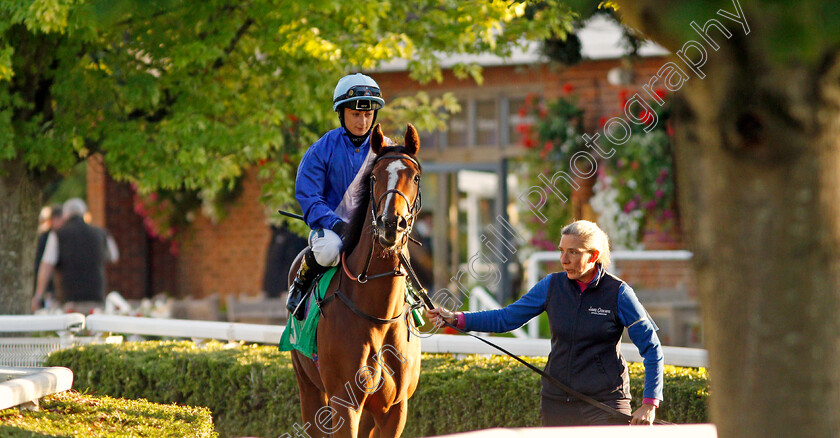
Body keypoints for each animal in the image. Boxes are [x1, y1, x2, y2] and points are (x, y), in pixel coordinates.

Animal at [288, 123, 424, 438]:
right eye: (374, 177)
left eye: (415, 176)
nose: (391, 224)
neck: (379, 316)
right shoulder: (344, 402)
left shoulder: (395, 408)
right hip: (308, 386)